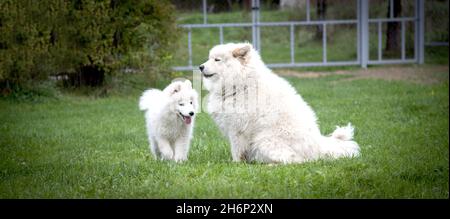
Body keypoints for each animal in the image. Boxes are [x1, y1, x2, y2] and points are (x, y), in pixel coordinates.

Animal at [199, 42, 360, 163]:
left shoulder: (237, 130)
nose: (200, 67)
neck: (241, 85)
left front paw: (235, 164)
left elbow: (237, 151)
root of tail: (318, 147)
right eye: (209, 58)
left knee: (296, 161)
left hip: (263, 140)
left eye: (217, 60)